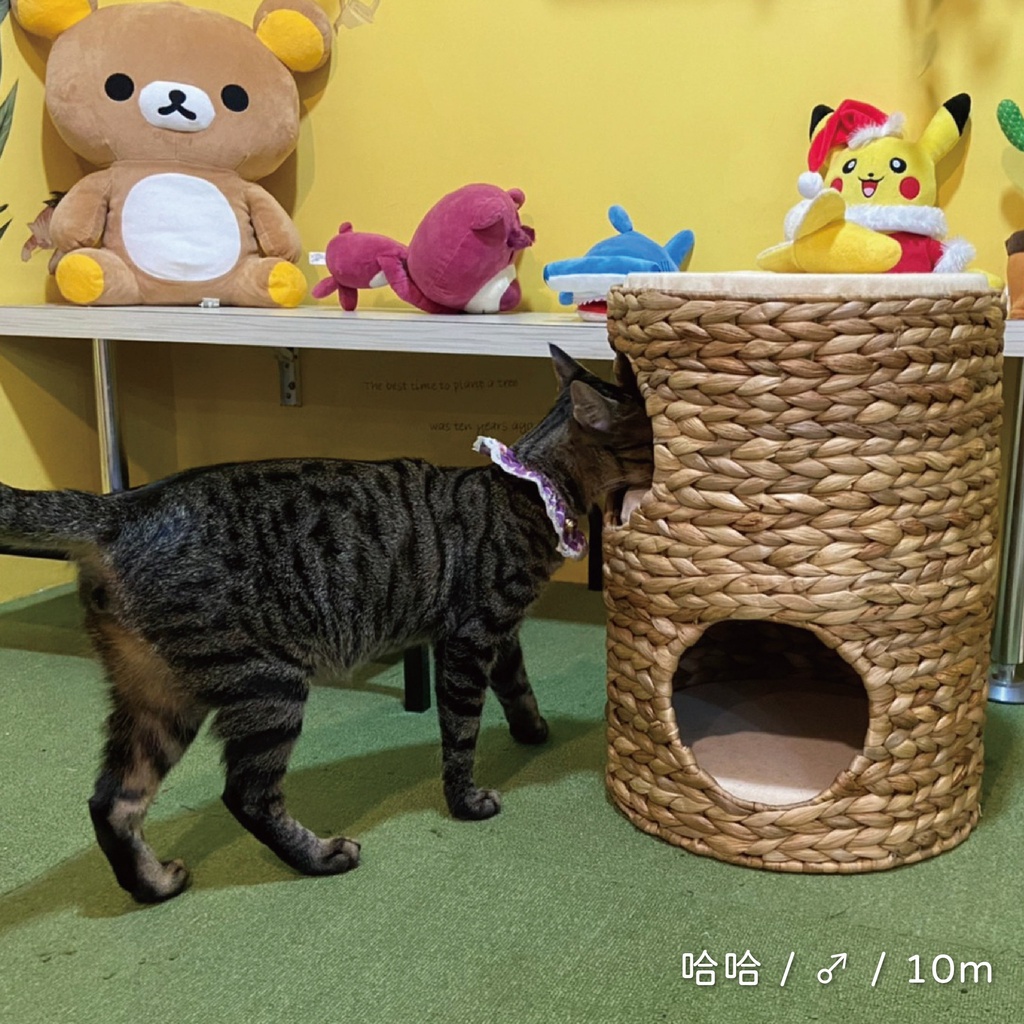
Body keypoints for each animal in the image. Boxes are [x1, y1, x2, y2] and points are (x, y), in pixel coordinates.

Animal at [0, 345, 653, 903]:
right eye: (651, 438)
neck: (530, 488)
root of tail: (121, 507)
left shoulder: (502, 632)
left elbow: (518, 685)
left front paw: (533, 730)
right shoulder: (469, 639)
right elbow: (462, 731)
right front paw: (466, 801)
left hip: (158, 696)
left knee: (112, 802)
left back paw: (153, 884)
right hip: (267, 684)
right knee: (246, 795)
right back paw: (319, 857)